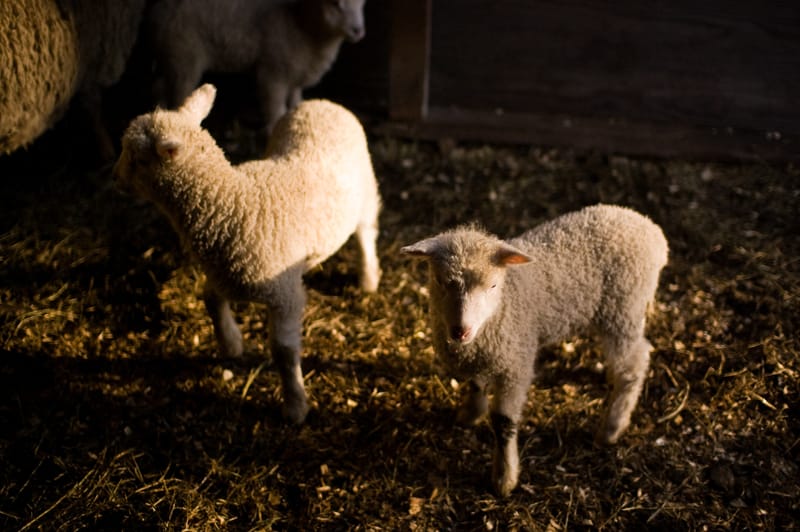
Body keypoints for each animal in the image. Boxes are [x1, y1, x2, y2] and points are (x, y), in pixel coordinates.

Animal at [113, 83, 382, 424]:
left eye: (137, 158)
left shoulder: (286, 295)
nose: (114, 177)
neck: (233, 203)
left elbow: (282, 351)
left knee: (366, 233)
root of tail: (321, 103)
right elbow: (211, 300)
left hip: (366, 191)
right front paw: (230, 343)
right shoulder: (222, 272)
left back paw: (369, 279)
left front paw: (295, 405)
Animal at [147, 0, 366, 136]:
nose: (358, 31)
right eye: (335, 3)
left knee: (159, 88)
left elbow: (295, 102)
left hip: (169, 57)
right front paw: (275, 130)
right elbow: (276, 107)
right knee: (180, 93)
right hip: (184, 54)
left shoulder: (295, 74)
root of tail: (158, 12)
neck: (301, 25)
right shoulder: (274, 71)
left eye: (362, 4)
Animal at [401, 204, 668, 496]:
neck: (505, 303)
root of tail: (650, 229)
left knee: (635, 363)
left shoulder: (516, 364)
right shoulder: (483, 356)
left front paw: (504, 477)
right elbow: (475, 383)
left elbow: (503, 422)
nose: (461, 331)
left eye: (493, 286)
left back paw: (612, 426)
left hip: (623, 309)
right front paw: (470, 413)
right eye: (440, 281)